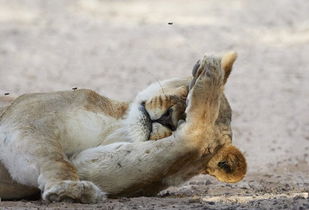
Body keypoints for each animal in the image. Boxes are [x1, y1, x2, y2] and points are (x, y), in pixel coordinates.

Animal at [0, 51, 245, 203]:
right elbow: (52, 156)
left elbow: (182, 146)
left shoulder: (91, 166)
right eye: (185, 93)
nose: (168, 119)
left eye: (183, 116)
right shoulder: (28, 115)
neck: (117, 127)